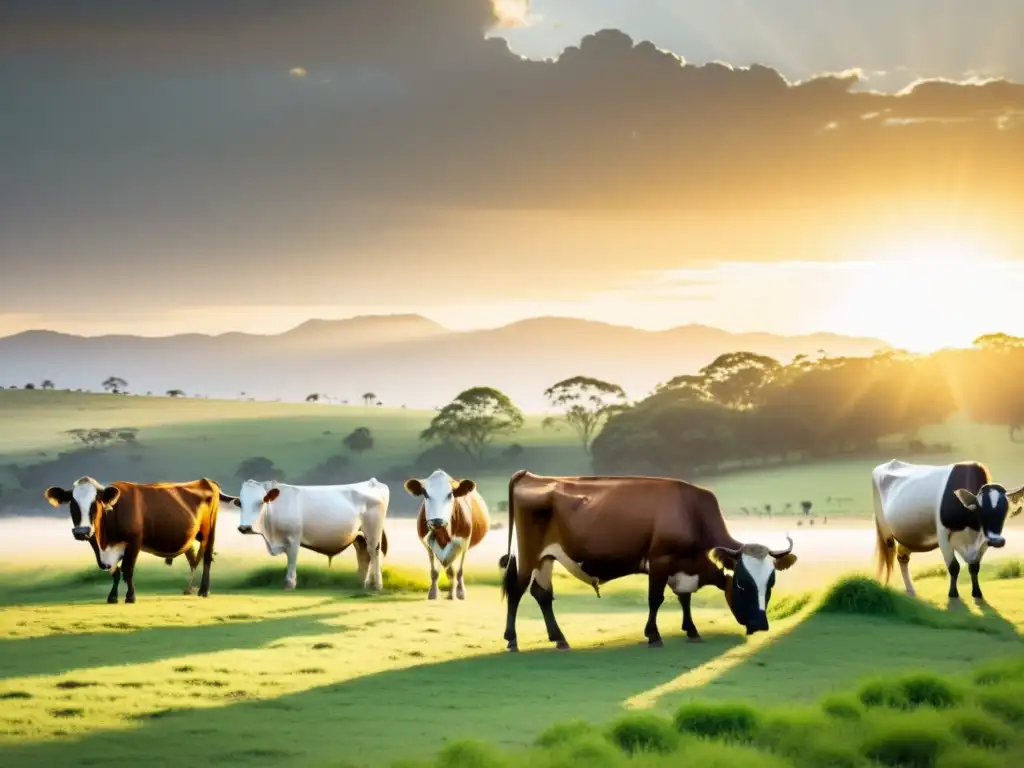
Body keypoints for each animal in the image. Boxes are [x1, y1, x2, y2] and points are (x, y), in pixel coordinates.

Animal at [43, 475, 230, 606]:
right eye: (72, 503)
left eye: (94, 503)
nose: (82, 532)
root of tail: (206, 480)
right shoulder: (99, 547)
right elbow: (115, 572)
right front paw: (112, 597)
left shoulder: (134, 541)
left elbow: (127, 569)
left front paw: (130, 596)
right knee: (194, 560)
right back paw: (189, 590)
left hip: (209, 532)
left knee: (207, 558)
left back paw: (204, 591)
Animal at [230, 475, 389, 593]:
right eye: (241, 503)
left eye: (260, 502)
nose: (245, 527)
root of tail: (372, 482)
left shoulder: (293, 538)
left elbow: (292, 559)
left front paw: (289, 584)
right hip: (359, 536)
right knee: (364, 555)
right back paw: (363, 584)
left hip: (373, 530)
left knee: (374, 552)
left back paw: (376, 585)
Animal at [401, 468, 489, 602]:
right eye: (425, 493)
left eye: (450, 494)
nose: (437, 521)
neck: (443, 533)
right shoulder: (427, 544)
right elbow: (435, 572)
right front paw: (433, 594)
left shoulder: (463, 542)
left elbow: (457, 571)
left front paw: (458, 593)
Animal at [495, 473, 798, 651]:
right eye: (743, 584)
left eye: (770, 584)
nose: (761, 625)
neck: (691, 513)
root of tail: (530, 476)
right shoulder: (660, 560)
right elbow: (656, 599)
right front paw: (653, 635)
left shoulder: (683, 567)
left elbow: (684, 598)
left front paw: (691, 629)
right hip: (530, 554)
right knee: (518, 590)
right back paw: (512, 639)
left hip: (547, 557)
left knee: (541, 593)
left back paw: (559, 638)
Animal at [872, 456, 1024, 602]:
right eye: (981, 510)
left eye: (1005, 510)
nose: (997, 541)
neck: (971, 529)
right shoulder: (943, 535)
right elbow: (954, 566)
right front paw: (953, 594)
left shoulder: (983, 539)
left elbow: (974, 567)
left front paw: (977, 593)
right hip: (885, 530)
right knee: (889, 557)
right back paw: (888, 586)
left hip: (909, 537)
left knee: (902, 557)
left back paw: (911, 590)